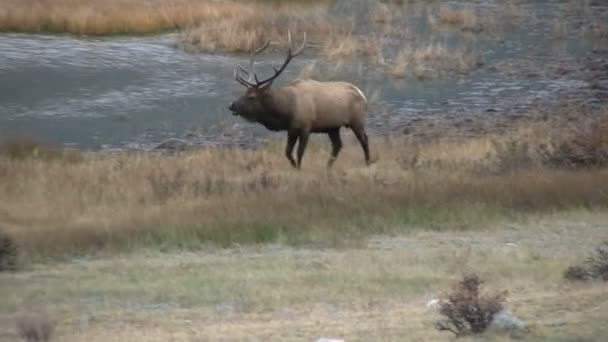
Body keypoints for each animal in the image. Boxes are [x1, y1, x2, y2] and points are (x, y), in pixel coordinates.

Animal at [229, 30, 368, 168]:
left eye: (251, 96)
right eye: (244, 92)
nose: (231, 105)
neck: (286, 111)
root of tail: (361, 94)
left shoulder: (306, 127)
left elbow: (299, 153)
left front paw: (299, 168)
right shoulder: (291, 130)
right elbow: (287, 153)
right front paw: (295, 167)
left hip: (357, 120)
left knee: (364, 139)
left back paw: (367, 162)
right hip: (333, 127)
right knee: (337, 145)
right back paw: (327, 167)